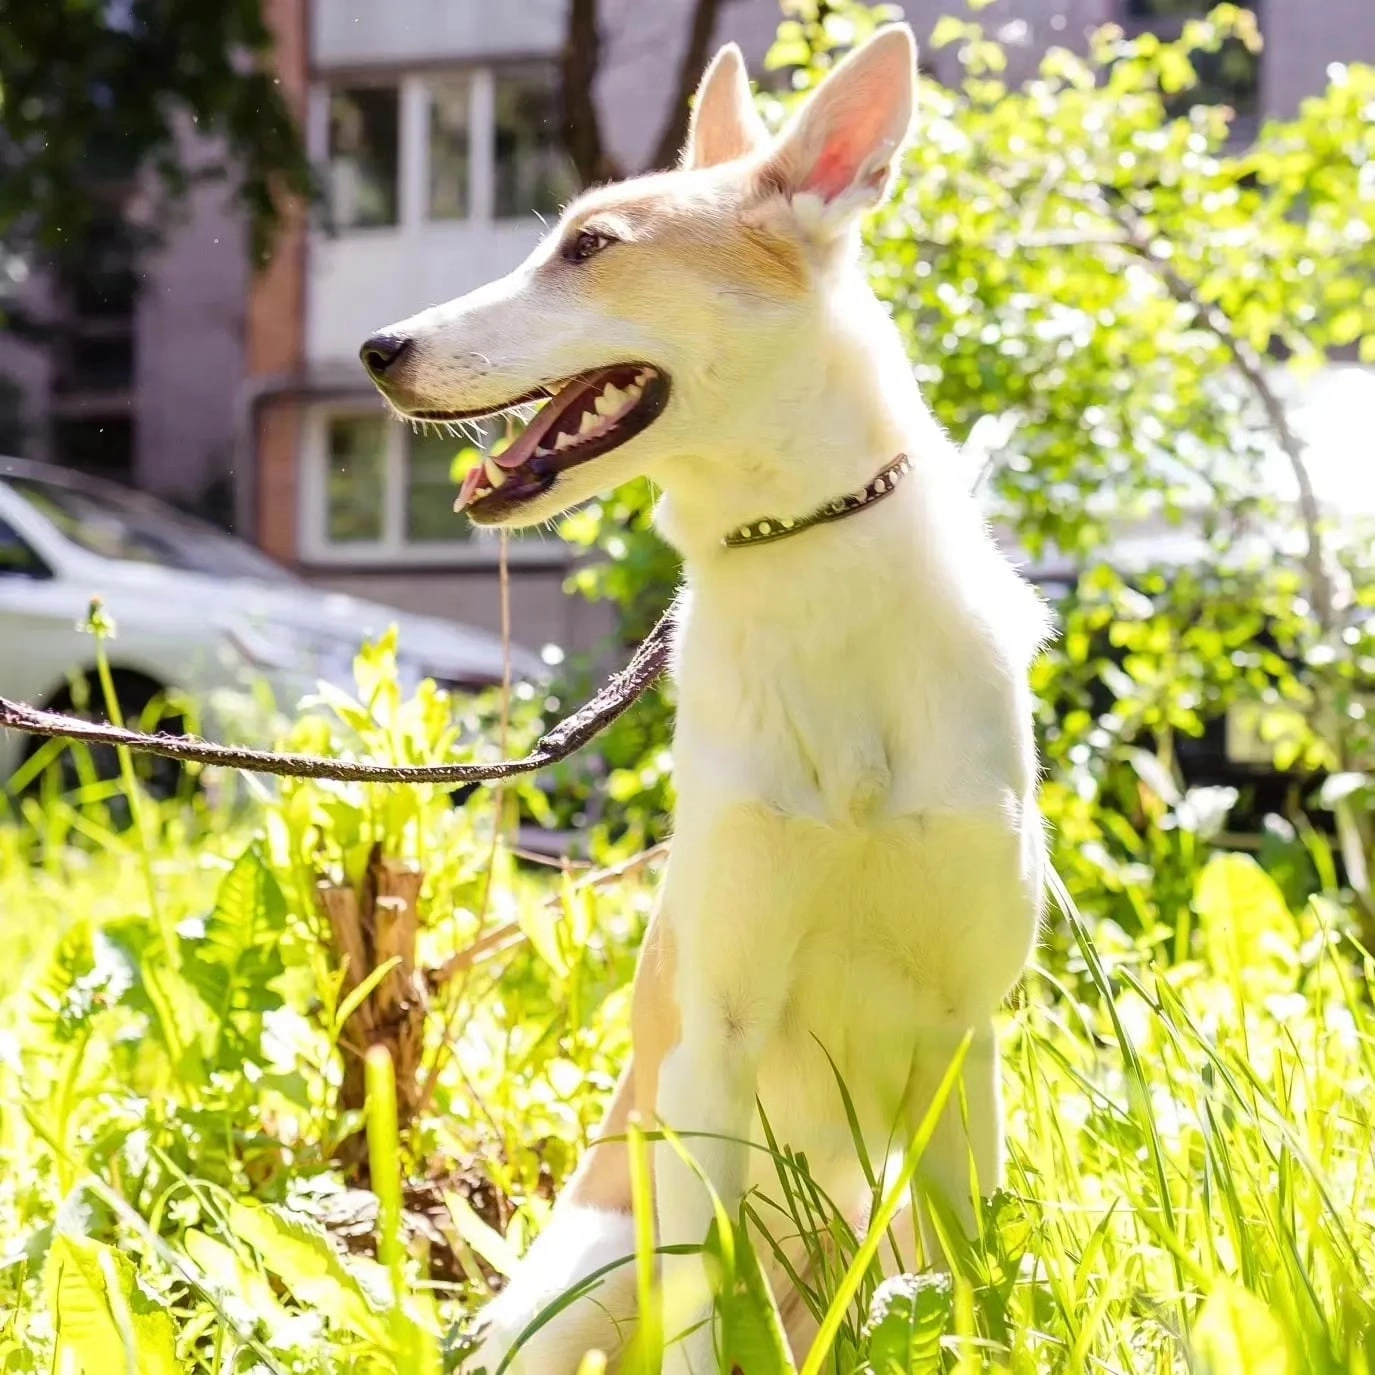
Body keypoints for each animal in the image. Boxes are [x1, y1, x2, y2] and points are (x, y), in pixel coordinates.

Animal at [360, 26, 1045, 1369]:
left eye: (590, 249)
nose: (377, 349)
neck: (802, 557)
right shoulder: (710, 1038)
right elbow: (700, 1308)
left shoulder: (962, 1034)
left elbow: (976, 1275)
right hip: (592, 1256)